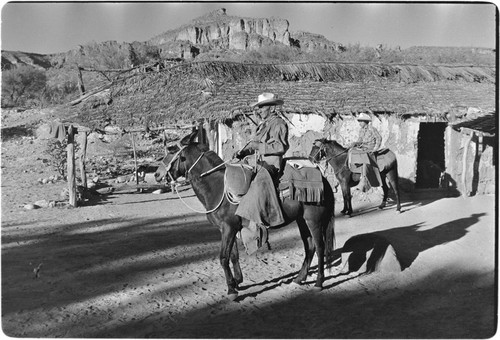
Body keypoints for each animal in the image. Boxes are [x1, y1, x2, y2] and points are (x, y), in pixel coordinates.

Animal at [156, 131, 336, 298]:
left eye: (171, 150)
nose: (157, 174)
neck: (218, 187)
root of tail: (324, 180)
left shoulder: (228, 227)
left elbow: (223, 257)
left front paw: (231, 290)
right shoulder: (229, 228)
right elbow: (233, 255)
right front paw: (236, 282)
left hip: (313, 220)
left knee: (320, 247)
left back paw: (319, 283)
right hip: (301, 220)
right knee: (310, 246)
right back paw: (299, 278)